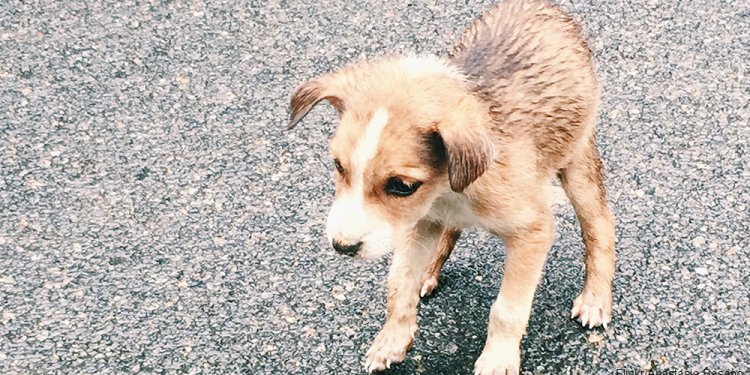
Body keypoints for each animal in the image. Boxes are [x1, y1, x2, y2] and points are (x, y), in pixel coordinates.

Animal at [288, 0, 616, 374]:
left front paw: (497, 358)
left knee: (600, 225)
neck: (446, 189)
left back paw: (595, 297)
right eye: (339, 166)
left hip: (576, 162)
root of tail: (540, 5)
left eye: (402, 186)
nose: (342, 247)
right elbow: (399, 279)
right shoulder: (416, 222)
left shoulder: (532, 230)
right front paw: (393, 337)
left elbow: (507, 308)